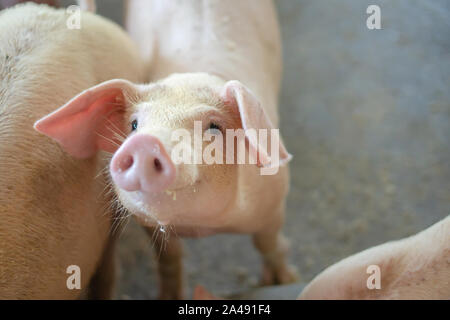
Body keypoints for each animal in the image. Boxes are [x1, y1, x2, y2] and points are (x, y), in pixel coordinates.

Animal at [36, 0, 298, 300]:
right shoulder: (149, 225)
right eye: (134, 124)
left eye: (214, 127)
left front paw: (283, 280)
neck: (200, 227)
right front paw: (170, 295)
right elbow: (169, 257)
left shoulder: (274, 201)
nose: (145, 143)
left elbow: (267, 242)